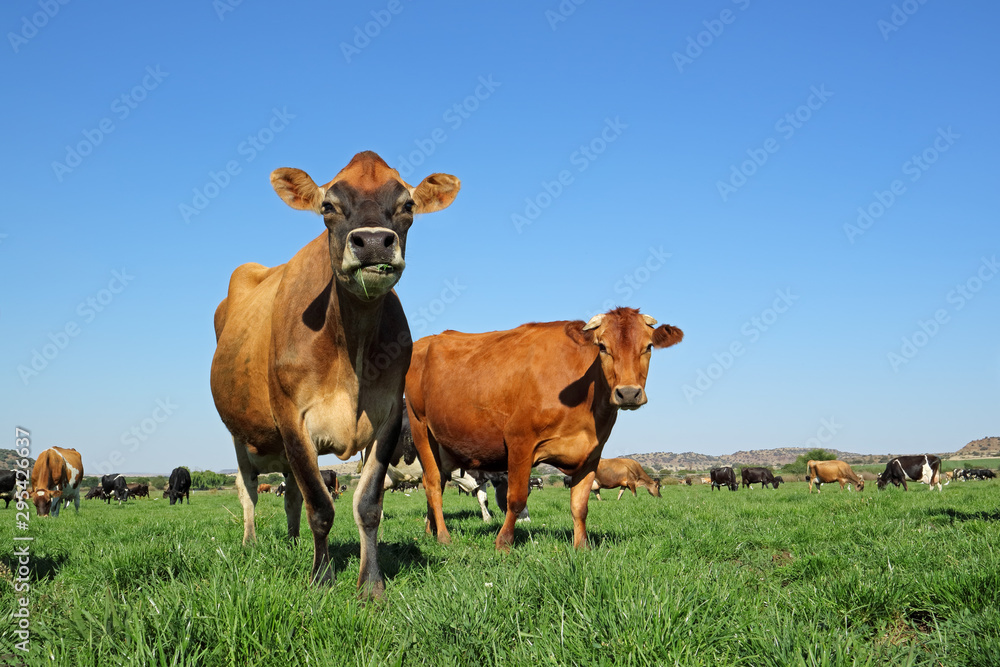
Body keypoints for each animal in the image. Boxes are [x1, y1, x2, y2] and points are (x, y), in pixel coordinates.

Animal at [213, 151, 462, 596]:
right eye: (328, 206)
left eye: (408, 205)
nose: (374, 242)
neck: (351, 347)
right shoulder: (292, 420)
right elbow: (320, 506)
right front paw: (322, 578)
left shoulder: (387, 418)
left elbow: (367, 505)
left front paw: (370, 585)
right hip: (241, 435)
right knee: (249, 491)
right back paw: (251, 542)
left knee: (290, 494)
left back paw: (293, 543)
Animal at [404, 306, 680, 552]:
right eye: (602, 347)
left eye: (648, 346)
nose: (629, 393)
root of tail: (424, 342)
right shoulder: (520, 442)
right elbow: (516, 500)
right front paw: (503, 544)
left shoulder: (591, 454)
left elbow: (580, 505)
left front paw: (582, 547)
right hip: (421, 428)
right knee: (432, 483)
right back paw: (443, 537)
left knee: (438, 482)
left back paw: (430, 531)